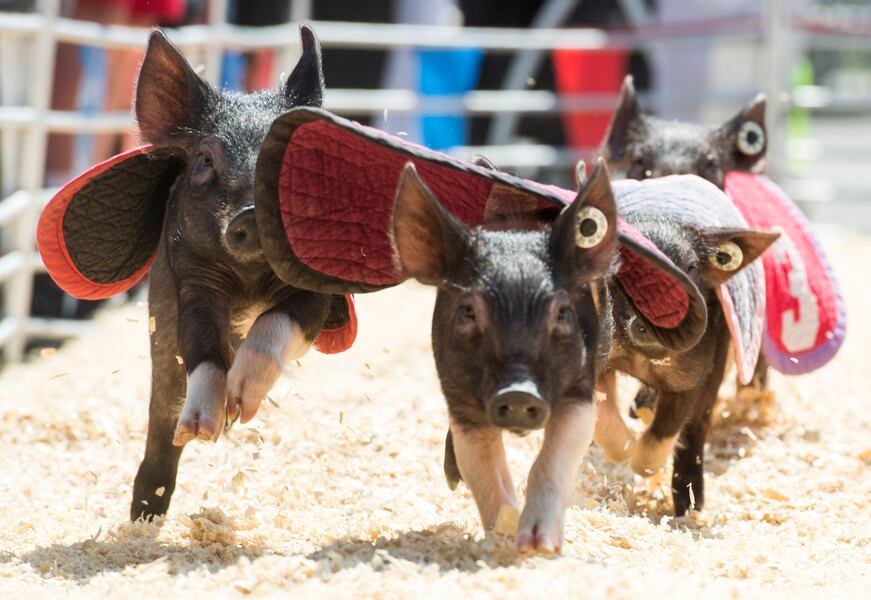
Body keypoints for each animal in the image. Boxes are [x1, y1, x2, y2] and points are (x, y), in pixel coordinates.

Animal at [130, 27, 335, 521]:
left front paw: (241, 403)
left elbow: (279, 320)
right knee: (162, 413)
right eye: (206, 158)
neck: (249, 280)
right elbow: (200, 338)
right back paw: (146, 510)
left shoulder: (315, 283)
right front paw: (208, 425)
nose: (252, 214)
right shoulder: (187, 276)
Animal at [391, 159, 619, 553]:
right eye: (468, 310)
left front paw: (539, 545)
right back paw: (452, 477)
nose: (519, 392)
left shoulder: (580, 386)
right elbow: (483, 469)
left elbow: (554, 458)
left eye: (562, 312)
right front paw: (505, 540)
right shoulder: (459, 397)